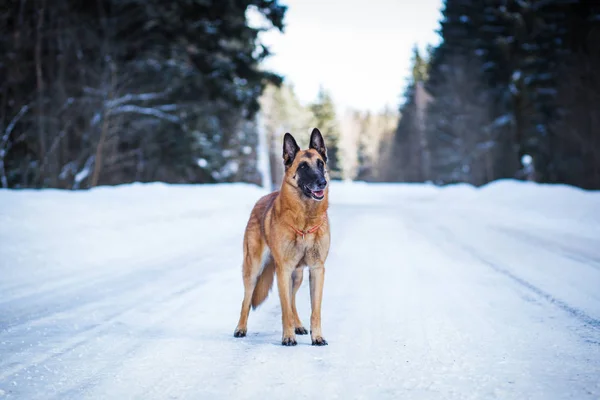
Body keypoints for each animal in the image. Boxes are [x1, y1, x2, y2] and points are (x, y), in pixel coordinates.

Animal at [234, 129, 330, 346]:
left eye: (320, 164)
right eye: (303, 167)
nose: (322, 182)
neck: (305, 219)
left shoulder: (316, 270)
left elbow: (315, 310)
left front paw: (317, 336)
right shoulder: (283, 270)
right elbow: (284, 308)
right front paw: (288, 336)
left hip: (298, 275)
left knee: (293, 299)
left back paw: (299, 325)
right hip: (253, 269)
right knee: (246, 299)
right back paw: (240, 328)